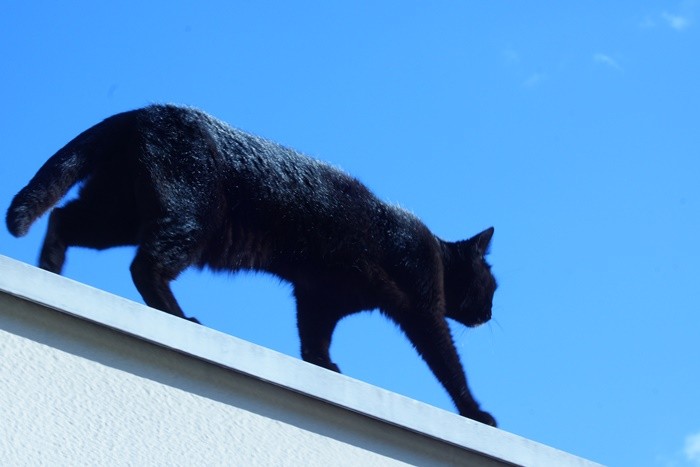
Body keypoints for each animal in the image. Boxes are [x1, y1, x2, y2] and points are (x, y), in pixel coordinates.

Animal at [5, 106, 498, 428]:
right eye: (492, 286)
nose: (492, 312)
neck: (435, 251)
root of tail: (139, 112)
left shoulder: (319, 297)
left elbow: (313, 338)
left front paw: (323, 366)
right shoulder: (423, 309)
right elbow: (449, 364)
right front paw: (476, 412)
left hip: (119, 213)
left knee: (63, 217)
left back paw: (50, 268)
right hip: (188, 219)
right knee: (145, 265)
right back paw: (177, 315)